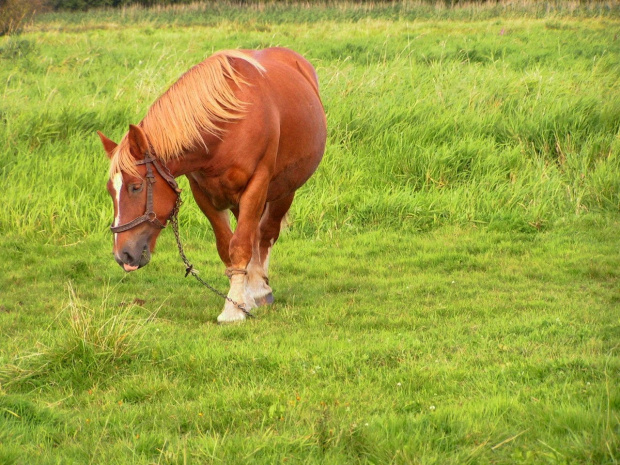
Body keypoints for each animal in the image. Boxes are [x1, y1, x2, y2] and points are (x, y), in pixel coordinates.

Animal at [97, 48, 326, 322]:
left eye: (135, 186)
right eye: (111, 191)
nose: (123, 255)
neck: (226, 130)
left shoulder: (257, 185)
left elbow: (241, 246)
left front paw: (233, 311)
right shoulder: (203, 194)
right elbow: (228, 247)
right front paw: (239, 300)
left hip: (284, 191)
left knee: (266, 234)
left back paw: (261, 290)